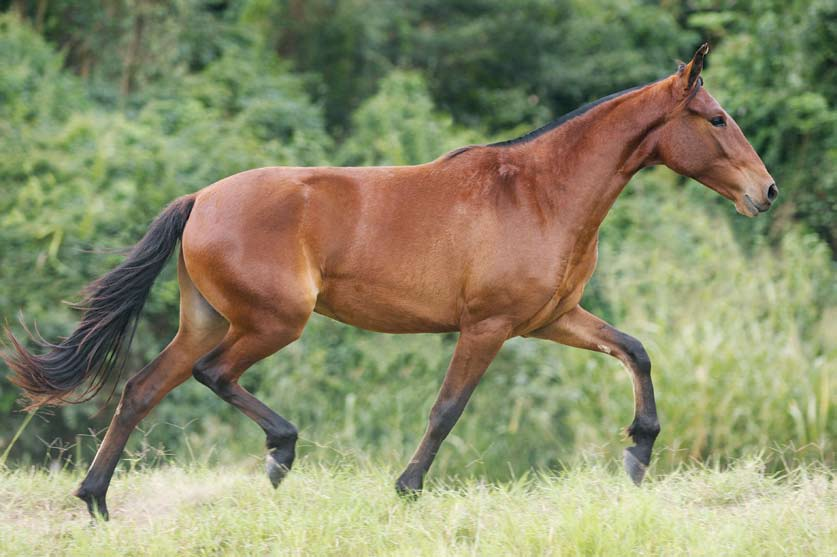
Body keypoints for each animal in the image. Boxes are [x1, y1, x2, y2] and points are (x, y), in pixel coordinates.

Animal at [4, 42, 776, 516]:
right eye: (716, 118)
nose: (765, 192)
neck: (538, 192)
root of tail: (201, 199)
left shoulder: (553, 319)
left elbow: (636, 350)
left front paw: (638, 452)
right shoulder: (488, 326)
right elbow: (446, 409)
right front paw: (406, 487)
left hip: (206, 321)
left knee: (140, 390)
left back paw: (97, 502)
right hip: (272, 322)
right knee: (213, 375)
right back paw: (280, 452)